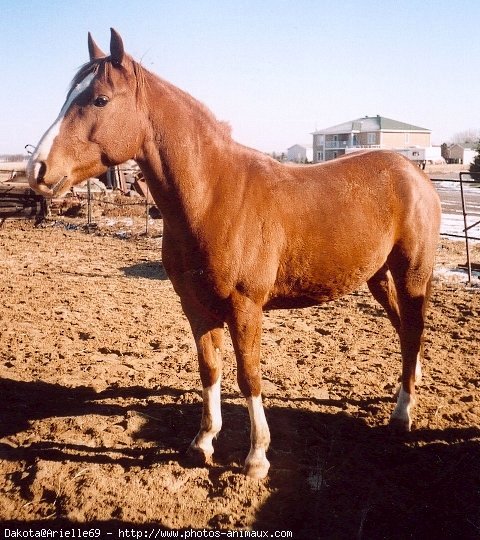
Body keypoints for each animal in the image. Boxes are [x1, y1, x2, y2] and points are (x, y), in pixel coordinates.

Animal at [25, 29, 438, 478]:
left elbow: (249, 377)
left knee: (412, 329)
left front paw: (256, 457)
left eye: (99, 99)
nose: (37, 170)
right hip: (377, 276)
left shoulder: (245, 307)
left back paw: (402, 414)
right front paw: (202, 442)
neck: (213, 196)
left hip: (411, 274)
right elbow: (210, 369)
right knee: (404, 330)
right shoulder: (197, 306)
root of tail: (414, 173)